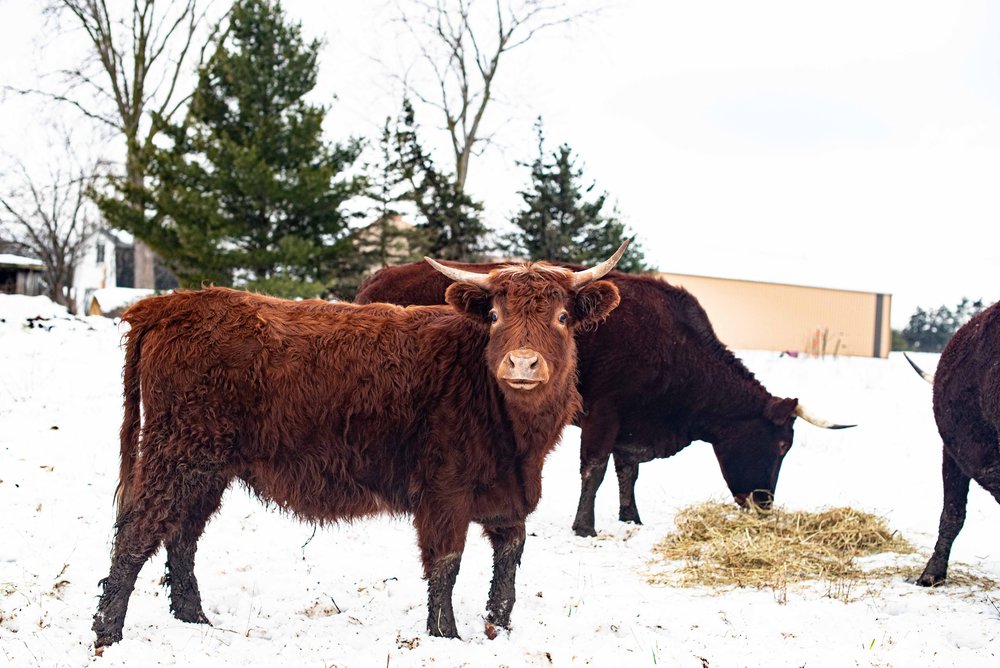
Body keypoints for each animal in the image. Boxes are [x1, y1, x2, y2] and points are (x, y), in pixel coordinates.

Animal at [92, 244, 624, 648]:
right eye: (495, 315)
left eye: (561, 316)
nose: (523, 363)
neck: (516, 435)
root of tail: (168, 306)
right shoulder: (444, 494)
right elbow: (445, 565)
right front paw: (446, 637)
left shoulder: (510, 494)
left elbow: (508, 565)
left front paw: (500, 630)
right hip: (177, 454)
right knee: (138, 533)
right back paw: (107, 634)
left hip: (208, 466)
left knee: (182, 536)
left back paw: (196, 621)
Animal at [356, 262, 848, 536]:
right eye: (781, 445)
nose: (765, 504)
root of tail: (379, 277)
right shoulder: (603, 413)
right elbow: (593, 470)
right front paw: (585, 526)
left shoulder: (631, 422)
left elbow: (627, 472)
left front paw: (631, 517)